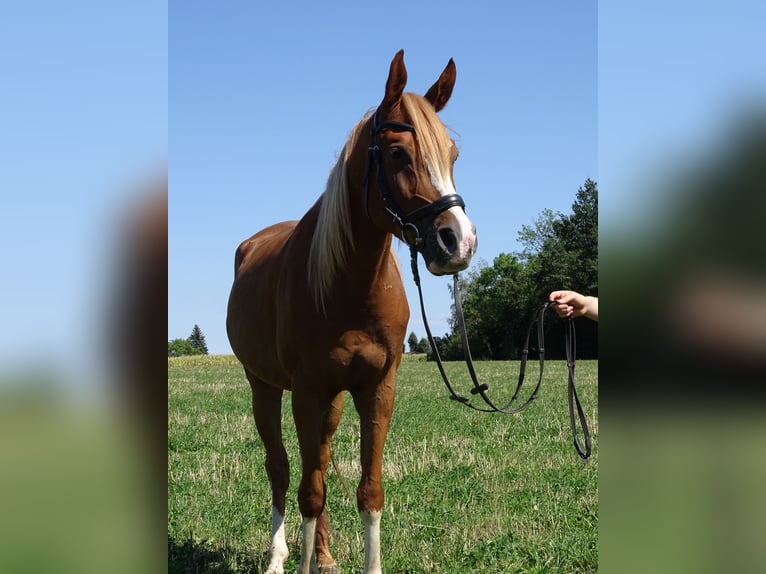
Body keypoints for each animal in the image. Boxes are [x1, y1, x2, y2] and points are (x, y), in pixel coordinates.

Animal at [226, 50, 477, 574]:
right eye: (398, 153)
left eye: (453, 155)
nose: (458, 242)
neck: (348, 287)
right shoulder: (305, 391)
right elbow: (308, 491)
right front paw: (295, 559)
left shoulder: (377, 390)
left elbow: (368, 491)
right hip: (264, 387)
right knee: (283, 469)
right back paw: (277, 557)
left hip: (333, 402)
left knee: (316, 461)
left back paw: (323, 554)